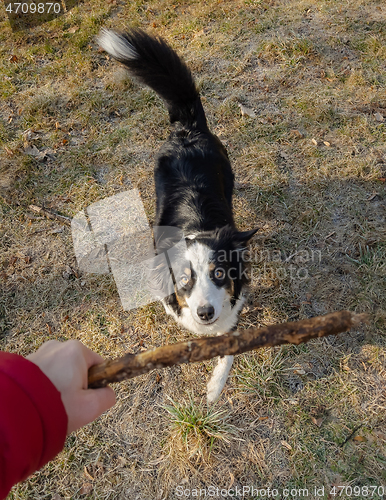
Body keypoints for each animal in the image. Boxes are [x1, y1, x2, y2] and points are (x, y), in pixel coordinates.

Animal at [98, 26, 258, 402]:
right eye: (185, 279)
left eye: (219, 274)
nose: (205, 312)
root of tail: (186, 129)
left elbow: (229, 346)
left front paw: (215, 387)